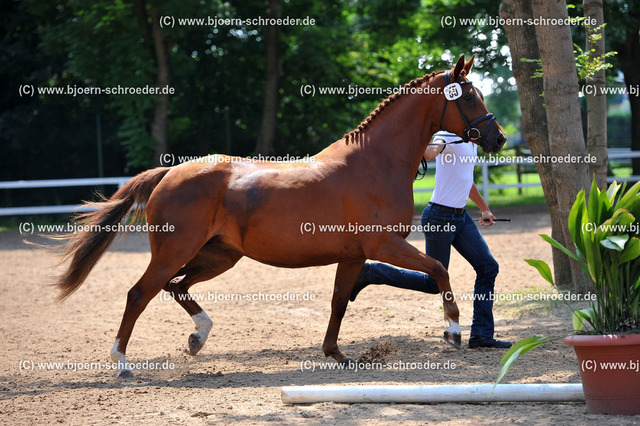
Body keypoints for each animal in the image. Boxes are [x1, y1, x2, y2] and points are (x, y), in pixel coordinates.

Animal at [55, 55, 504, 378]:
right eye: (468, 97)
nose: (497, 138)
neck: (374, 163)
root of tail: (169, 173)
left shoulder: (355, 256)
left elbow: (339, 301)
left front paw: (336, 354)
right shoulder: (384, 245)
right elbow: (439, 270)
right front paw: (452, 331)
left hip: (218, 256)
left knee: (175, 286)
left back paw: (198, 337)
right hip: (175, 251)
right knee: (140, 293)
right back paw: (122, 363)